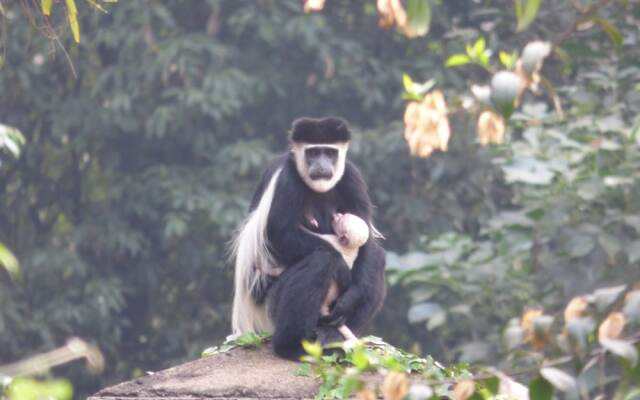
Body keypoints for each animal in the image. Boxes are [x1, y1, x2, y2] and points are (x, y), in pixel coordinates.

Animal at [232, 115, 388, 360]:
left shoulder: (352, 177)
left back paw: (330, 336)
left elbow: (367, 242)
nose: (322, 165)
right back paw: (290, 346)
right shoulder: (286, 178)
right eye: (313, 152)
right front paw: (340, 265)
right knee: (320, 260)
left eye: (330, 153)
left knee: (375, 258)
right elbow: (279, 234)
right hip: (271, 306)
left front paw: (351, 298)